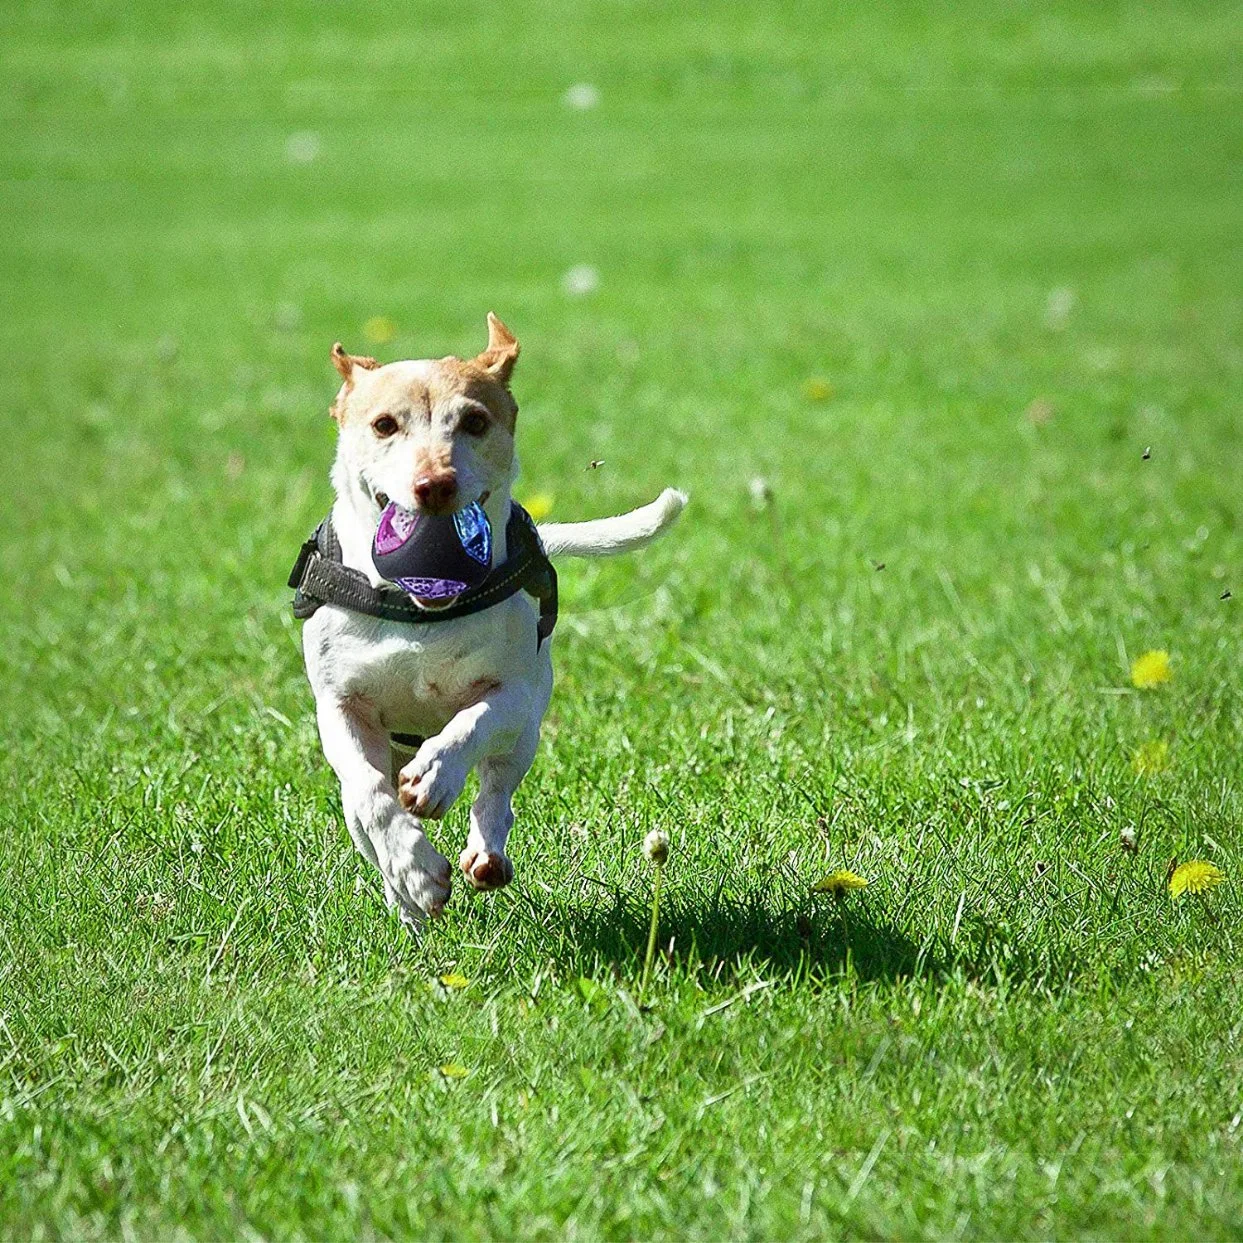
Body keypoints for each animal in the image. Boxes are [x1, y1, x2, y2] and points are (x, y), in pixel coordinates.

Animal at [294, 315, 686, 929]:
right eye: (384, 425)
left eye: (475, 421)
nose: (435, 484)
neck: (419, 611)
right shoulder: (341, 707)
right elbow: (372, 796)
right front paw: (416, 871)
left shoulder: (515, 693)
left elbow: (472, 724)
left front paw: (435, 776)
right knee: (366, 818)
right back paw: (407, 905)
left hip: (526, 733)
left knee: (497, 789)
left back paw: (484, 853)